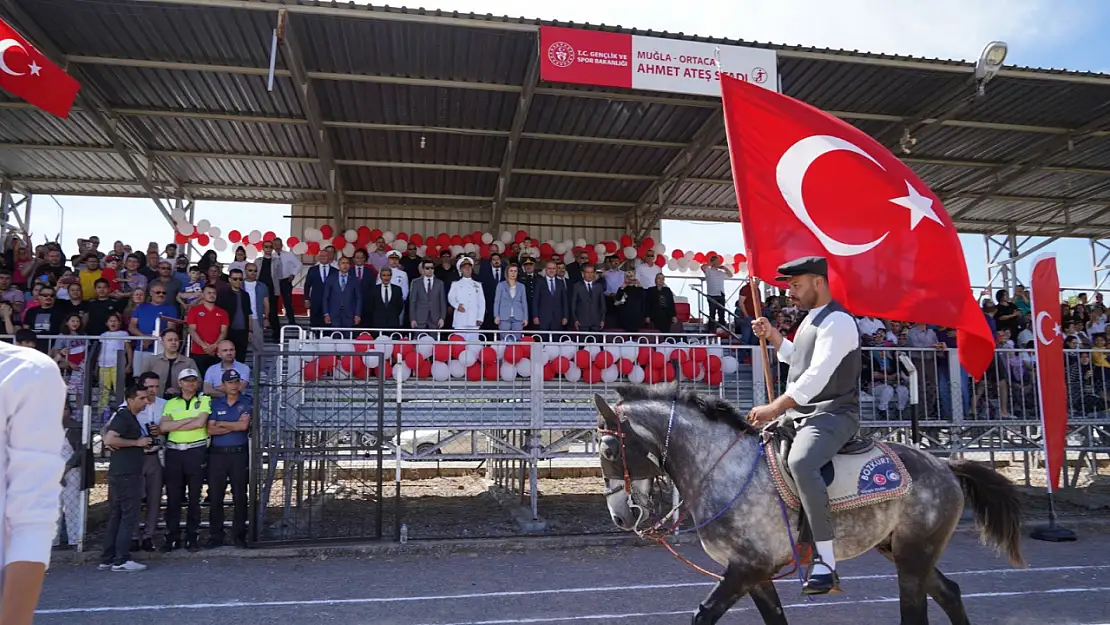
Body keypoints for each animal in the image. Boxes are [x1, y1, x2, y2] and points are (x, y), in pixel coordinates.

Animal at [599, 384, 1021, 621]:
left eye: (608, 449)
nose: (619, 516)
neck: (722, 467)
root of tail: (944, 465)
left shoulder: (746, 568)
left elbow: (703, 616)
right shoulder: (755, 574)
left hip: (915, 555)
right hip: (903, 550)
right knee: (949, 593)